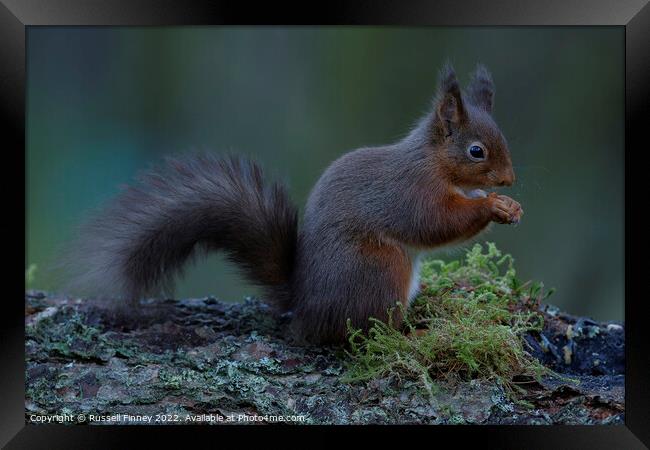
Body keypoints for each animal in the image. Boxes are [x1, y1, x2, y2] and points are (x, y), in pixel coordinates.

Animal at [64, 64, 520, 344]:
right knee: (367, 331)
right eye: (477, 151)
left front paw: (508, 205)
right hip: (379, 269)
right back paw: (410, 335)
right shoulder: (410, 191)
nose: (509, 180)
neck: (433, 162)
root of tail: (306, 307)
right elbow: (435, 223)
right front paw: (492, 206)